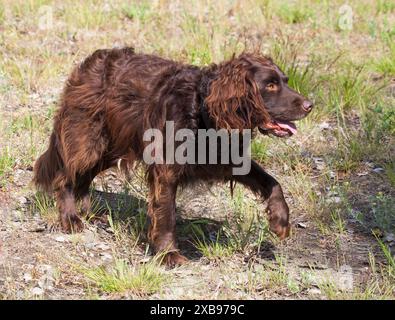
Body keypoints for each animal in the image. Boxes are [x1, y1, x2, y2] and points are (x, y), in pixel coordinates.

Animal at [33, 47, 312, 266]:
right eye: (270, 85)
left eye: (285, 80)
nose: (310, 105)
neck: (201, 109)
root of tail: (88, 64)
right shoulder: (166, 168)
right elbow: (166, 214)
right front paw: (168, 254)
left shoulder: (227, 160)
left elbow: (272, 182)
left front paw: (280, 219)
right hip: (89, 141)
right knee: (66, 176)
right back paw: (70, 218)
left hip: (110, 146)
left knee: (82, 177)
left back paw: (90, 214)